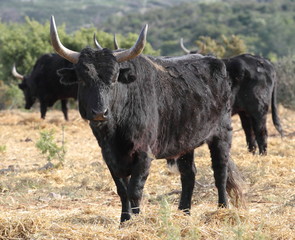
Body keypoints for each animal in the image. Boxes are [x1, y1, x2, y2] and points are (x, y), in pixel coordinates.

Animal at [51, 16, 245, 223]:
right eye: (82, 80)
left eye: (114, 79)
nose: (99, 112)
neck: (115, 130)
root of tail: (216, 61)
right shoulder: (109, 156)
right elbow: (122, 190)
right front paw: (124, 221)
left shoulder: (144, 154)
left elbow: (135, 190)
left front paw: (136, 221)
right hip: (186, 141)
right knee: (189, 174)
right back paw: (184, 212)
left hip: (222, 133)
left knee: (220, 172)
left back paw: (222, 208)